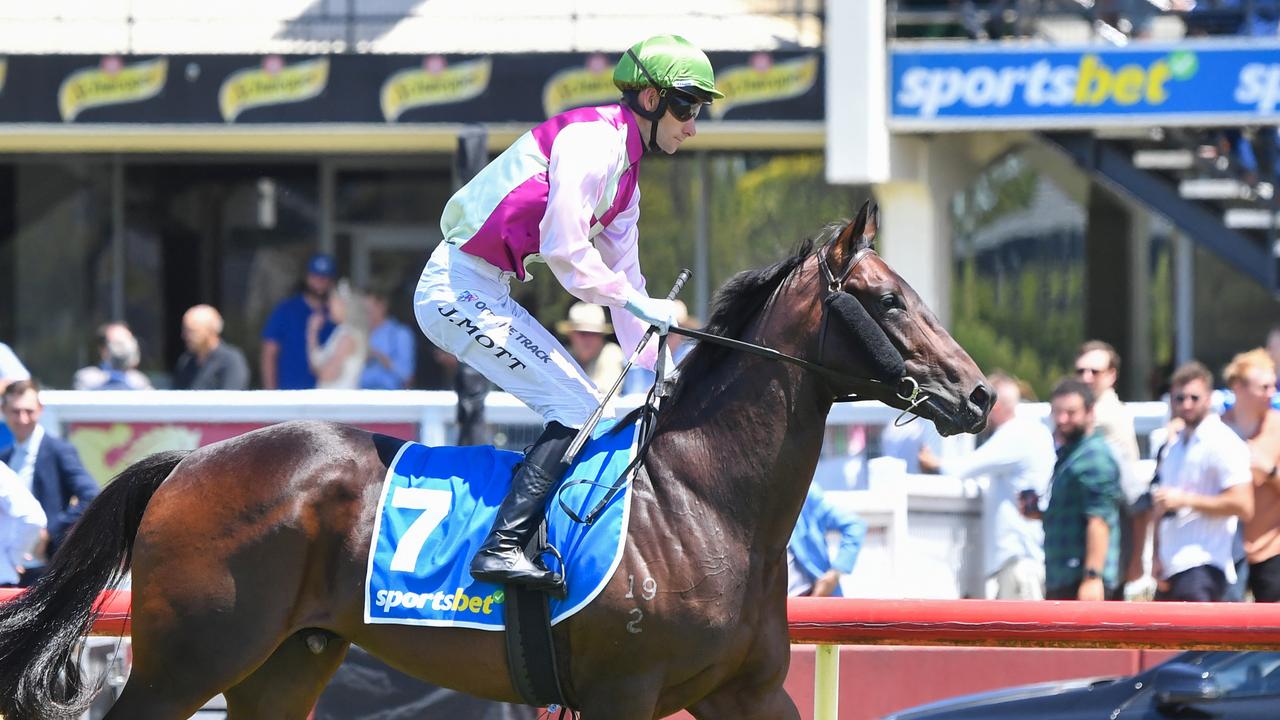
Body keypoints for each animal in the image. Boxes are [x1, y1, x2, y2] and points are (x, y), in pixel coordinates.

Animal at [0, 198, 988, 712]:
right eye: (887, 301)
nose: (978, 394)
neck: (706, 502)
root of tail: (187, 463)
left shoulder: (747, 690)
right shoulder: (624, 692)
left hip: (285, 661)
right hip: (193, 658)